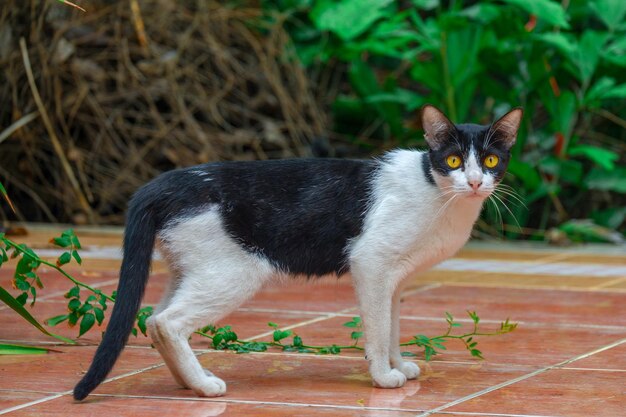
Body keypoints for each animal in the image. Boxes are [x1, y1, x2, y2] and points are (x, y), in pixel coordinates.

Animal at [73, 105, 520, 400]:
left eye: (491, 160)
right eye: (454, 160)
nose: (475, 182)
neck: (437, 192)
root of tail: (160, 184)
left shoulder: (394, 280)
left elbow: (392, 325)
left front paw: (398, 365)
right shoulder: (371, 264)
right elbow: (377, 330)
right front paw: (382, 376)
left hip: (191, 269)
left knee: (152, 319)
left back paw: (188, 382)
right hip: (232, 274)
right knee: (168, 322)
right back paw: (205, 386)